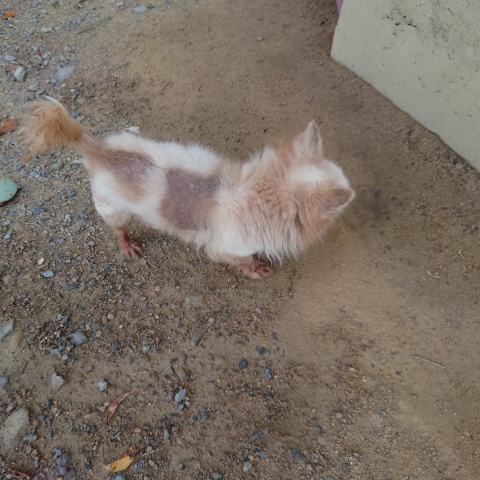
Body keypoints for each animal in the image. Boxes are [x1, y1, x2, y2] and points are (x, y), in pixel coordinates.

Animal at [20, 97, 354, 278]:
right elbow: (244, 260)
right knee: (118, 229)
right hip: (112, 209)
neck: (264, 190)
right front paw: (256, 268)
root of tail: (97, 150)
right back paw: (127, 245)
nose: (353, 195)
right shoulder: (226, 249)